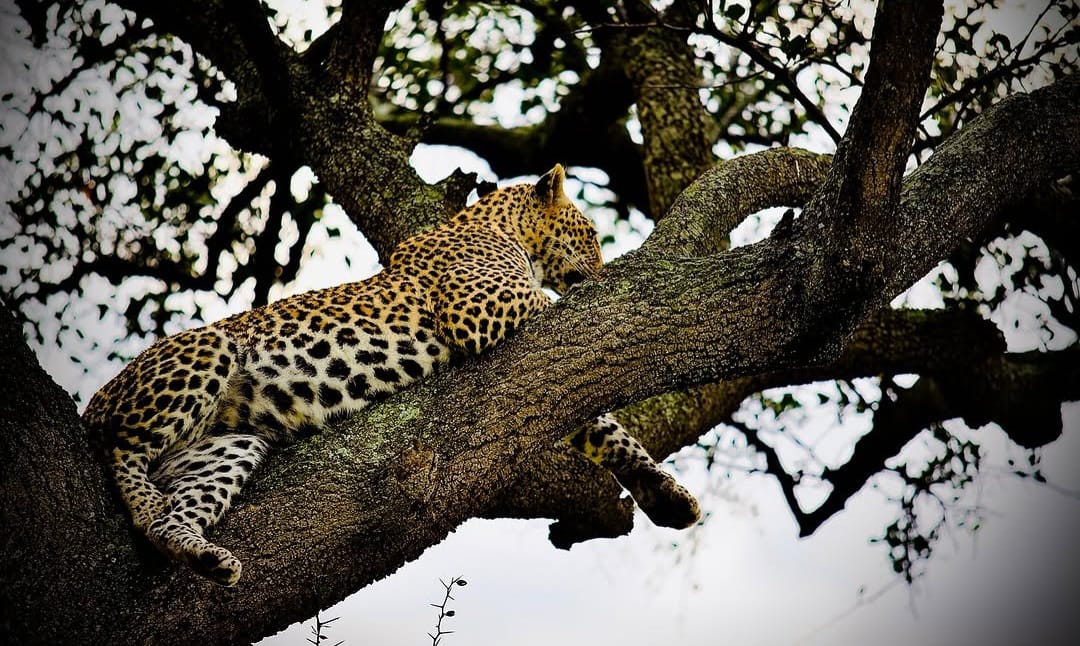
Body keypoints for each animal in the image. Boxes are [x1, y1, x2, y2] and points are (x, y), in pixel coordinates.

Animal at [82, 164, 700, 586]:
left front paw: (667, 495)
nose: (601, 267)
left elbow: (605, 426)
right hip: (204, 351)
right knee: (119, 447)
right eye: (590, 234)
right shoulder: (480, 308)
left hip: (228, 444)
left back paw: (200, 552)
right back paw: (147, 504)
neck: (501, 228)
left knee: (174, 515)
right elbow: (559, 317)